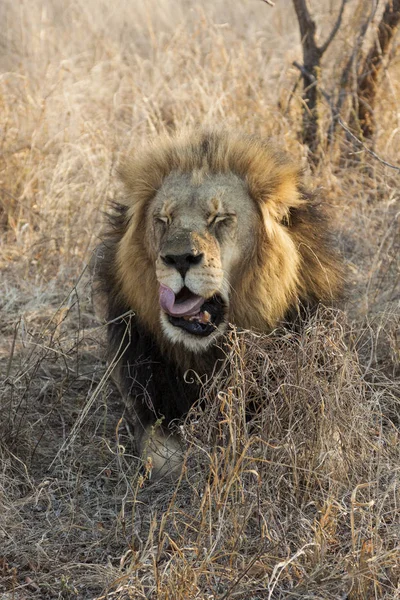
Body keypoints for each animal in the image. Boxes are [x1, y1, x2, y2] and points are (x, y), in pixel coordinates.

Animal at [93, 130, 340, 478]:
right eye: (163, 219)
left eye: (219, 218)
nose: (179, 258)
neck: (209, 356)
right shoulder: (154, 406)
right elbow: (163, 458)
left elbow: (319, 445)